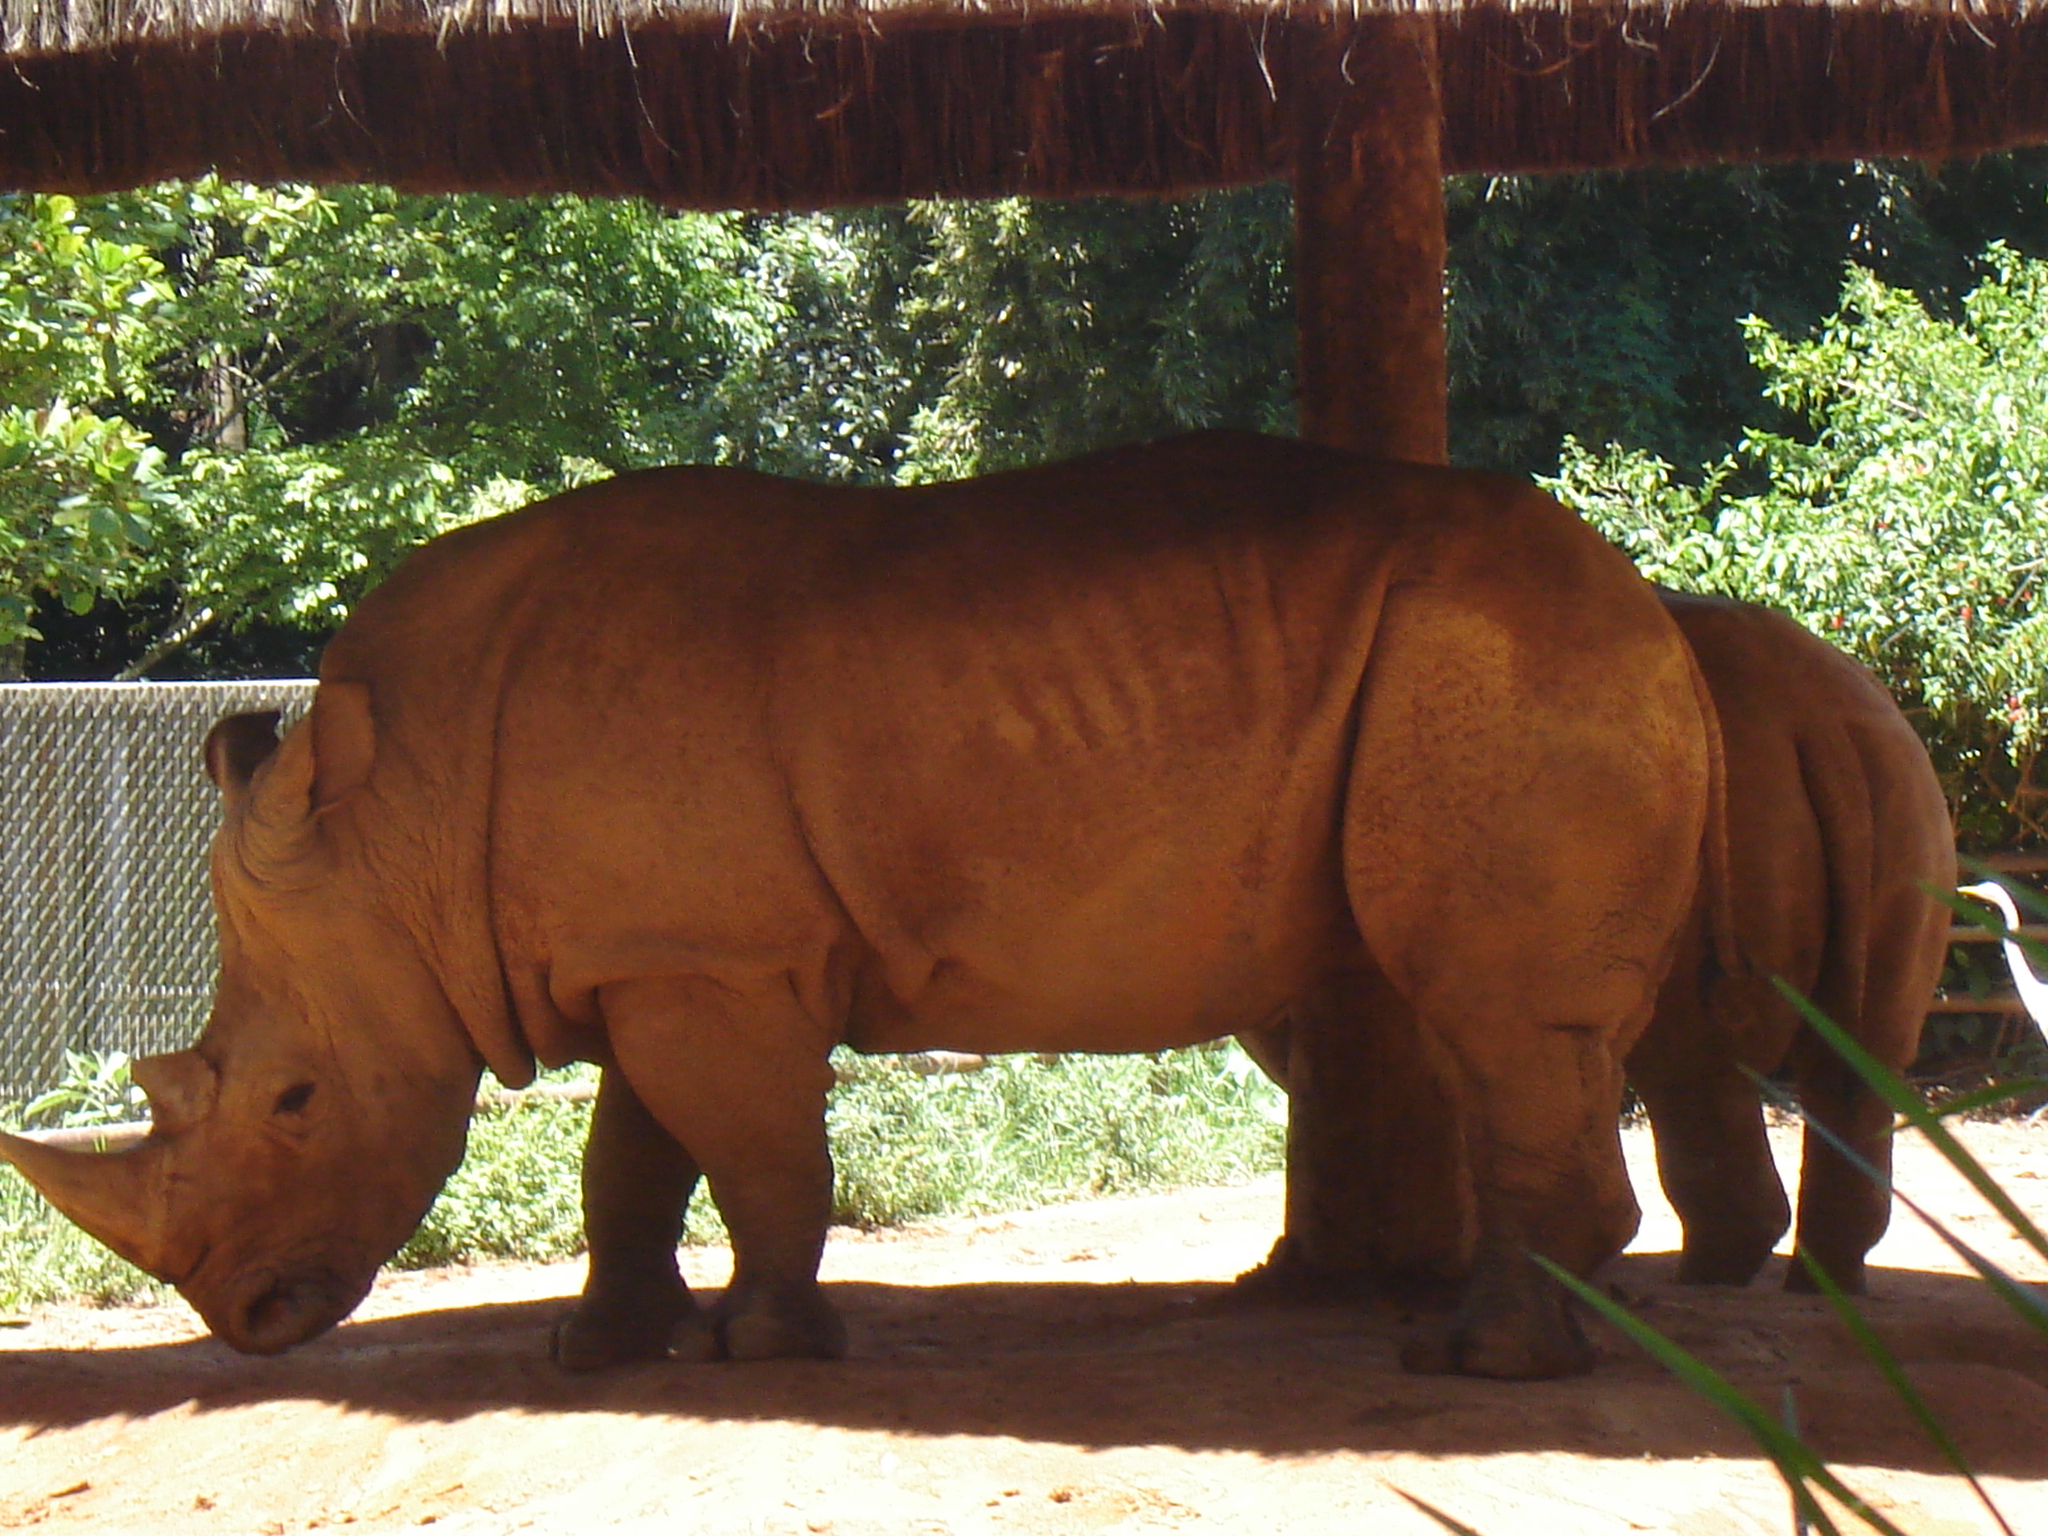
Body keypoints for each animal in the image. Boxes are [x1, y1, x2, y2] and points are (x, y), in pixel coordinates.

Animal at [0, 433, 1715, 1379]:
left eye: (294, 1102)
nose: (244, 1318)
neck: (395, 826)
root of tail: (1655, 615)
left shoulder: (713, 964)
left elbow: (756, 1155)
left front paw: (760, 1347)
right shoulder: (658, 950)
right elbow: (633, 1159)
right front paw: (595, 1348)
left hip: (1498, 667)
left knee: (1489, 1013)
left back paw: (1481, 1365)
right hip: (1501, 670)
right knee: (1505, 1026)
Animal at [1238, 589, 1953, 1297]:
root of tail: (1814, 720)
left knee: (1691, 1064)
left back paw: (1689, 1283)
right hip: (1902, 785)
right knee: (1859, 1059)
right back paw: (1807, 1286)